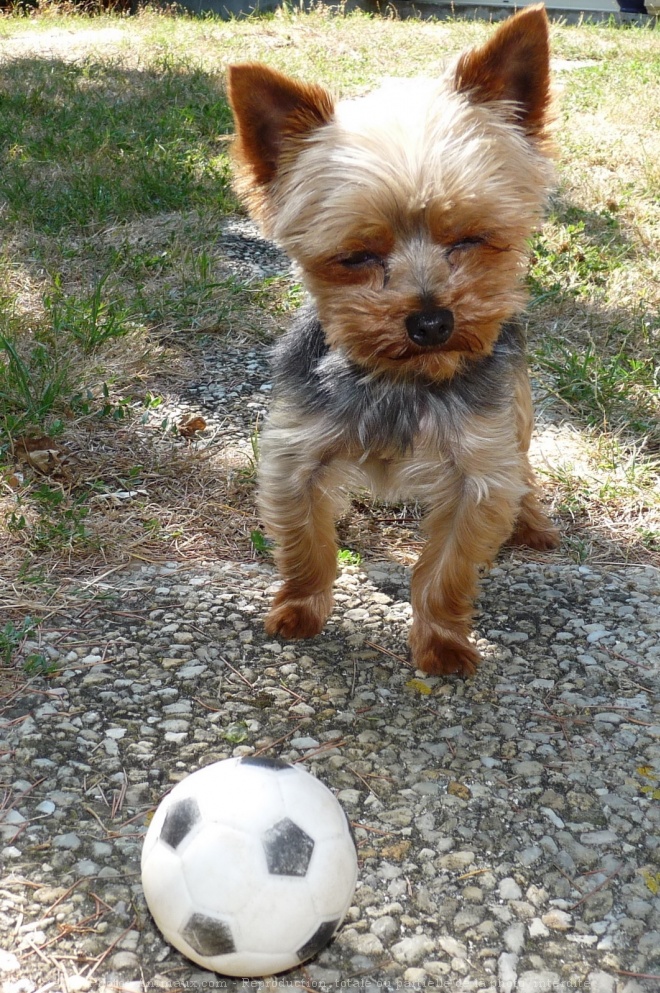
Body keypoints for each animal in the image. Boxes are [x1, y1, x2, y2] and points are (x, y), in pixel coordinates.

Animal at [227, 5, 556, 676]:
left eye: (471, 238)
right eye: (356, 256)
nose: (432, 323)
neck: (403, 380)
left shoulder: (478, 472)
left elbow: (448, 567)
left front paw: (443, 642)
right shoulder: (294, 455)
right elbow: (305, 543)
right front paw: (299, 608)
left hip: (517, 409)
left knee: (525, 465)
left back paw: (531, 520)